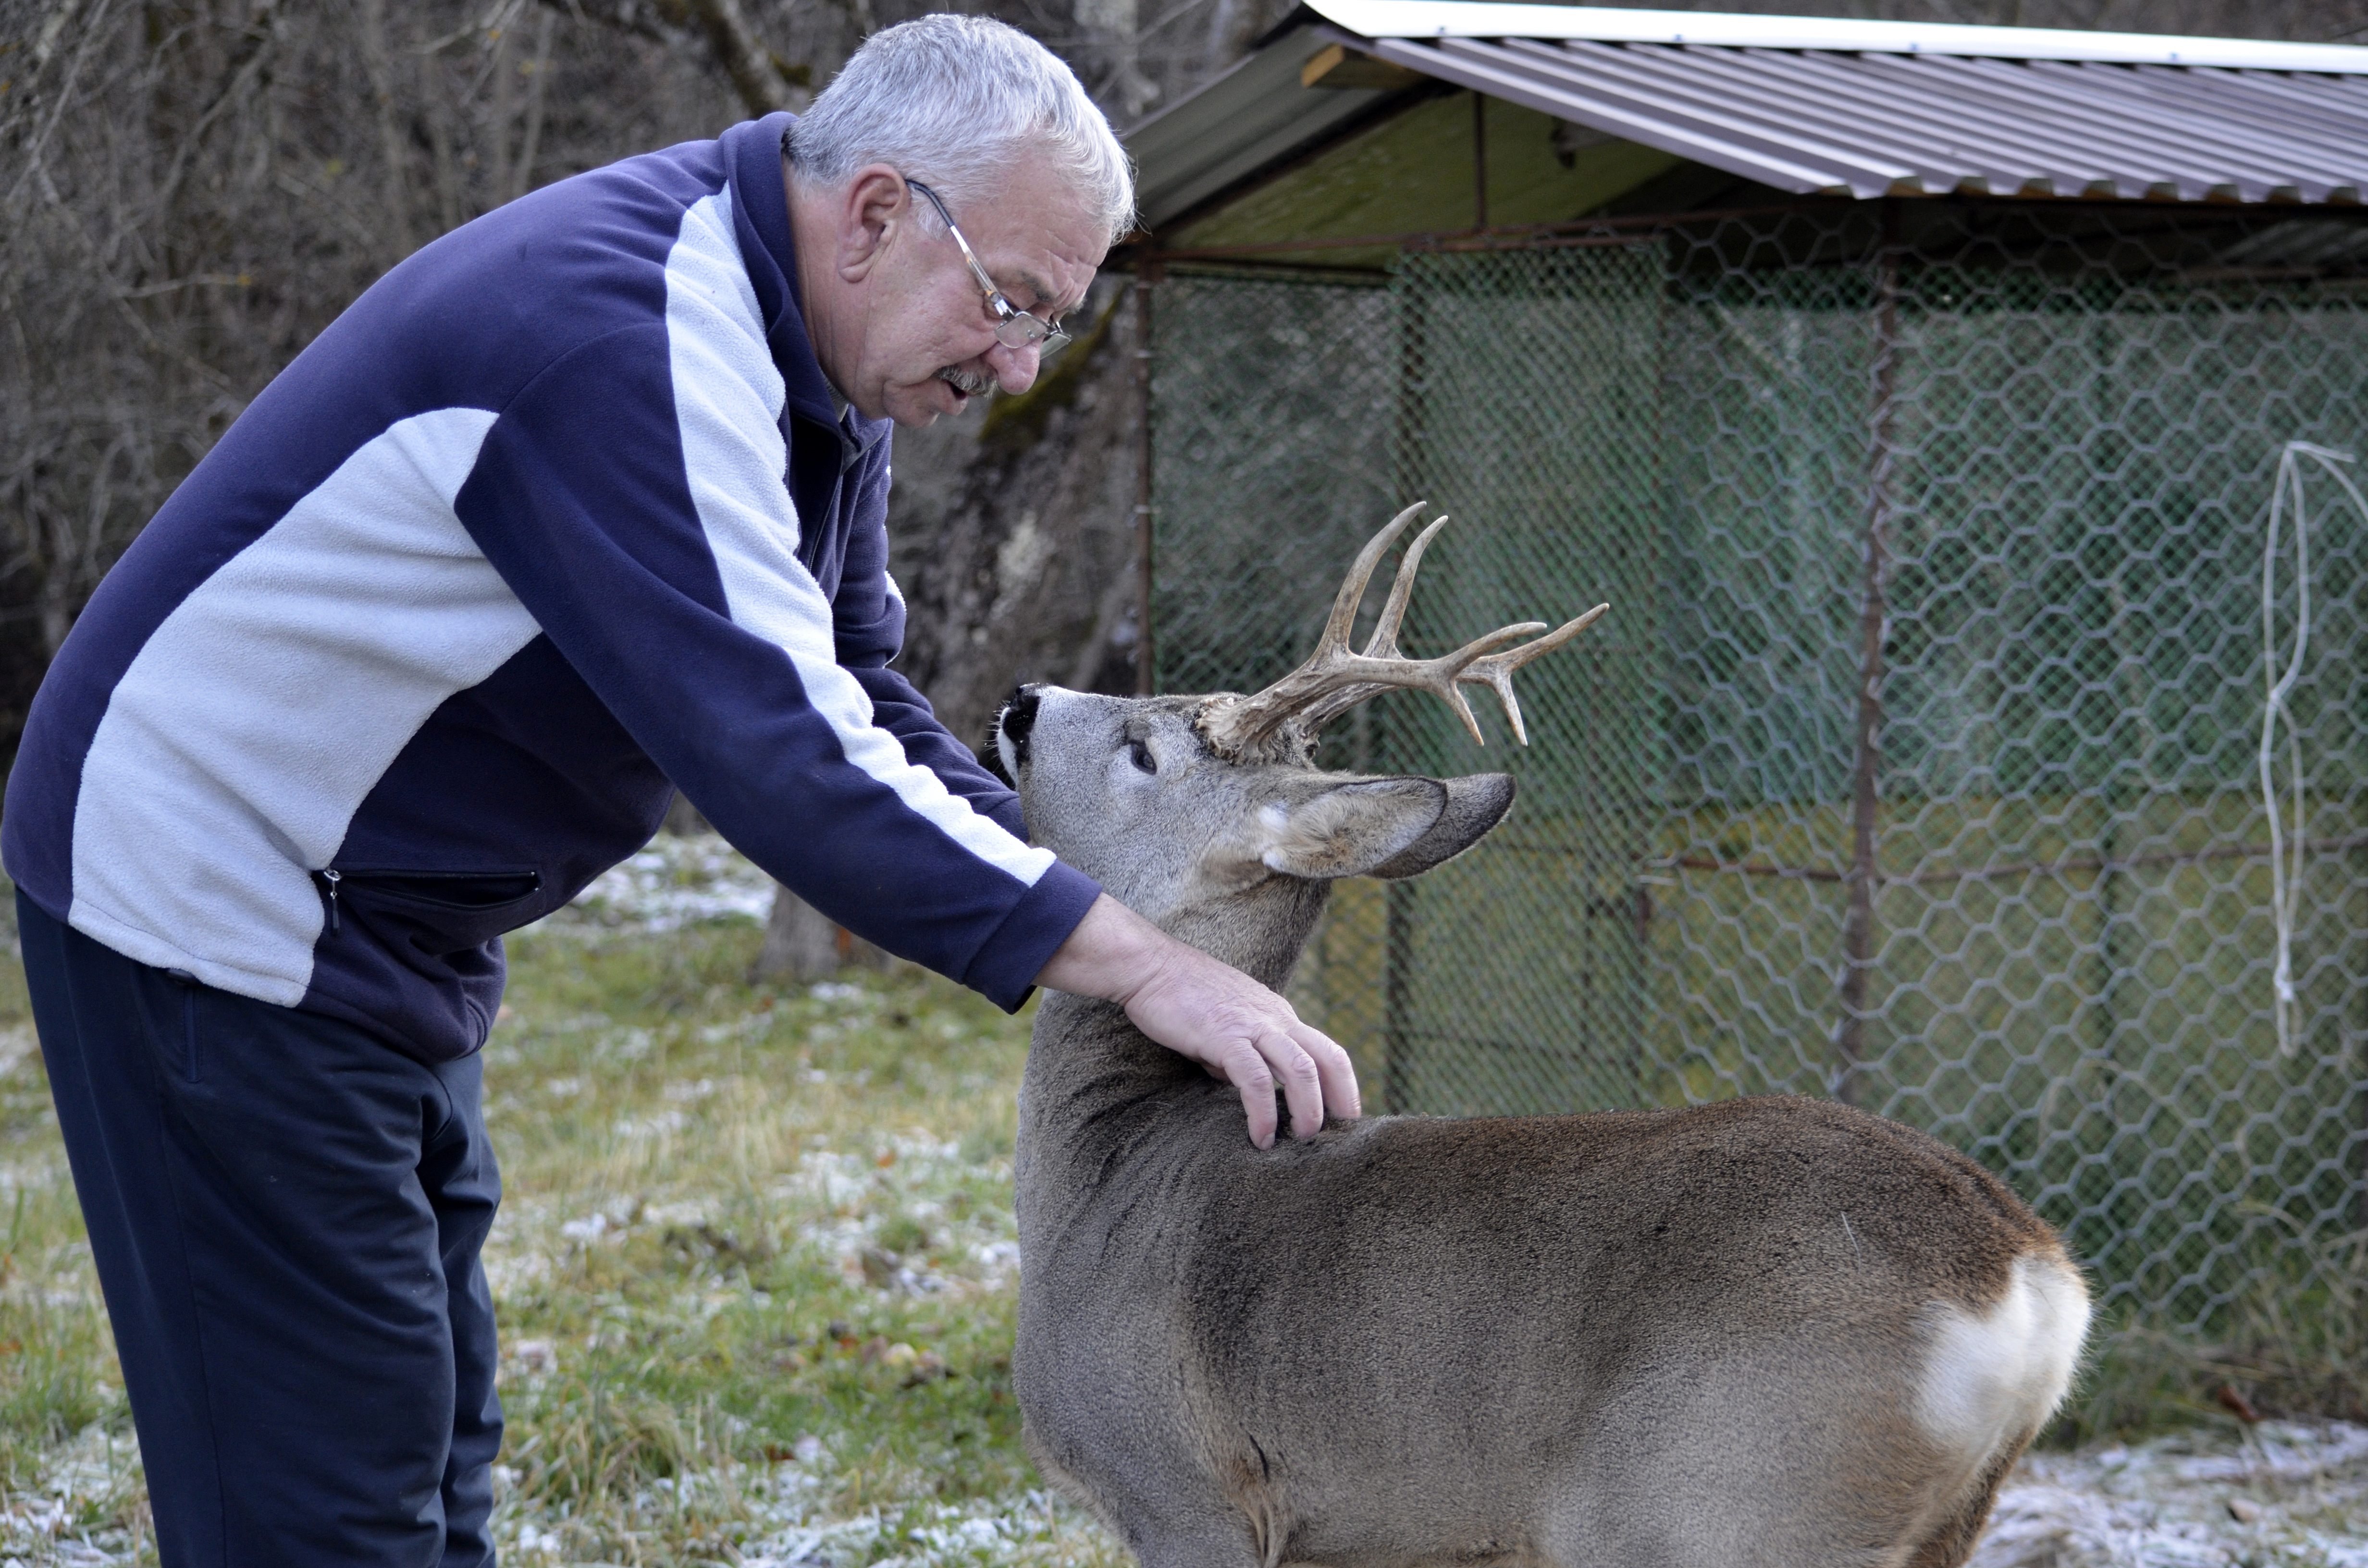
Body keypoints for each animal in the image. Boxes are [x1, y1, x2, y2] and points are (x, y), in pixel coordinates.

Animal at [989, 507, 2103, 1568]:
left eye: (1146, 750)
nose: (1020, 699)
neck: (1114, 1169)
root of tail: (2023, 1273)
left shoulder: (1182, 1491)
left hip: (1735, 1507)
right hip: (1933, 1517)